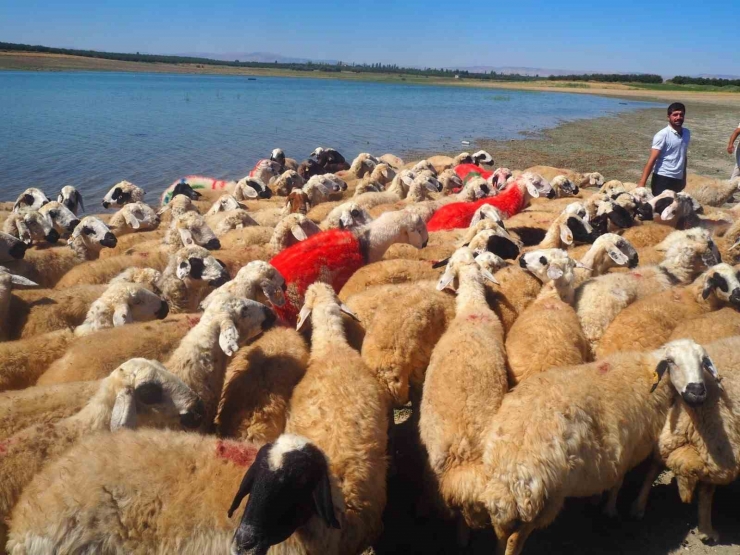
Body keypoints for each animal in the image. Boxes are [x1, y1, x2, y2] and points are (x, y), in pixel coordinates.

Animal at [480, 338, 716, 555]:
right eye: (672, 361)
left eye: (703, 361)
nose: (697, 392)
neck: (649, 373)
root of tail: (511, 465)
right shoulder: (629, 448)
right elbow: (618, 483)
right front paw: (610, 509)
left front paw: (598, 501)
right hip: (546, 498)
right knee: (514, 539)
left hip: (507, 502)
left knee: (501, 534)